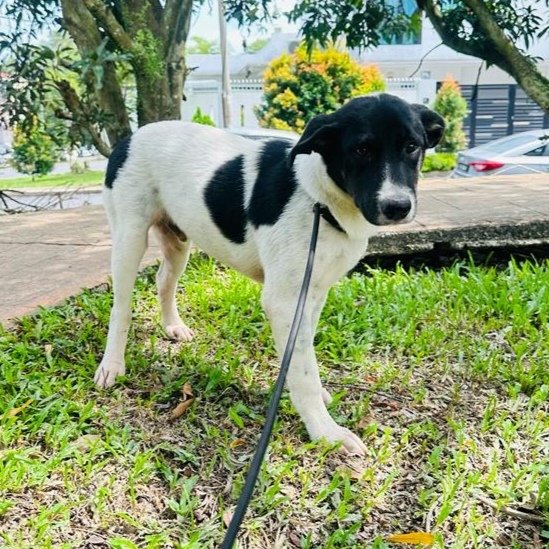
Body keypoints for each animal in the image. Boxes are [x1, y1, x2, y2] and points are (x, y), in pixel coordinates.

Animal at [96, 93, 444, 454]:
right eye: (361, 150)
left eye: (412, 146)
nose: (397, 207)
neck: (320, 198)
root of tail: (131, 137)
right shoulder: (284, 300)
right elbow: (305, 372)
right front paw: (326, 432)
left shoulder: (313, 291)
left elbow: (301, 358)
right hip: (129, 237)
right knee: (121, 307)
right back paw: (112, 365)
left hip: (178, 241)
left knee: (164, 280)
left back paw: (173, 326)